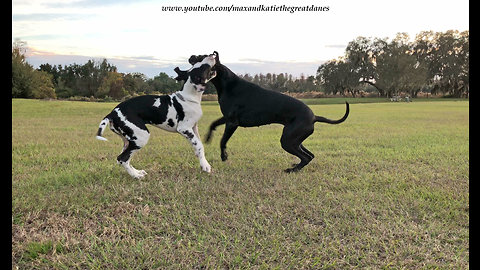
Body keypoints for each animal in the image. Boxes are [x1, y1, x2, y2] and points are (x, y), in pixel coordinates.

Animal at [175, 51, 348, 172]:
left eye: (201, 57)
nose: (191, 56)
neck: (226, 82)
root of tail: (314, 117)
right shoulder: (227, 118)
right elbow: (213, 124)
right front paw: (208, 137)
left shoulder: (232, 123)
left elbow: (223, 140)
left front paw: (224, 156)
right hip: (295, 140)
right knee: (310, 155)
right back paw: (295, 167)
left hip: (288, 140)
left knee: (306, 157)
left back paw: (292, 170)